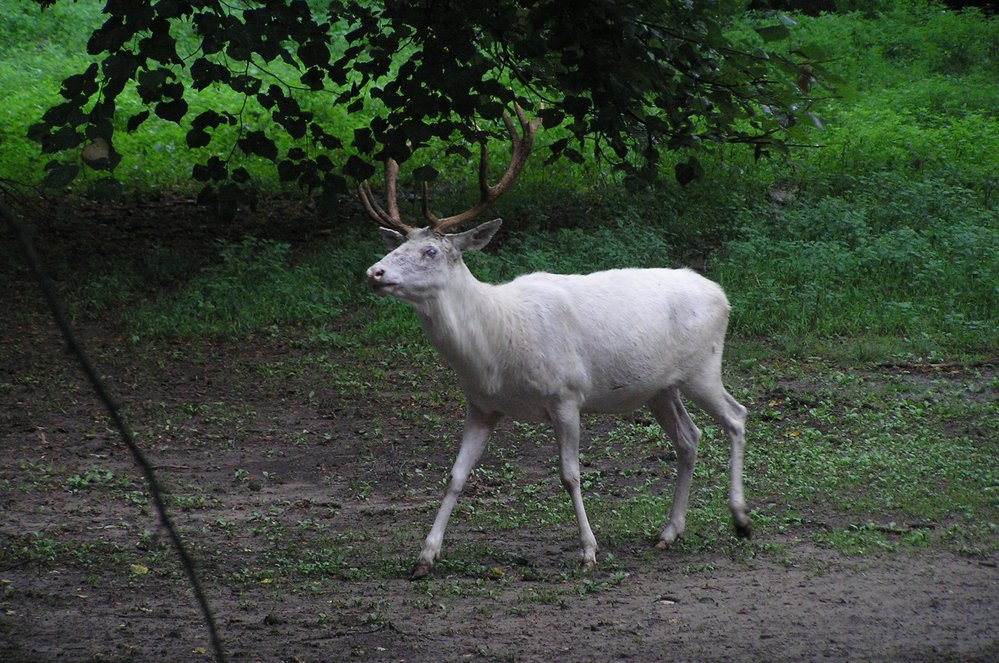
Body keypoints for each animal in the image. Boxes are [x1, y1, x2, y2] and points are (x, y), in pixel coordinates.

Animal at [362, 106, 752, 580]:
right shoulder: (481, 405)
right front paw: (425, 556)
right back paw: (669, 532)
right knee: (689, 437)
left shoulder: (566, 393)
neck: (494, 351)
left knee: (736, 416)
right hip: (660, 387)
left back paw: (740, 519)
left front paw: (588, 551)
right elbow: (455, 475)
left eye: (430, 252)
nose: (375, 272)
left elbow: (570, 475)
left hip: (703, 367)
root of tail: (722, 294)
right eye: (399, 243)